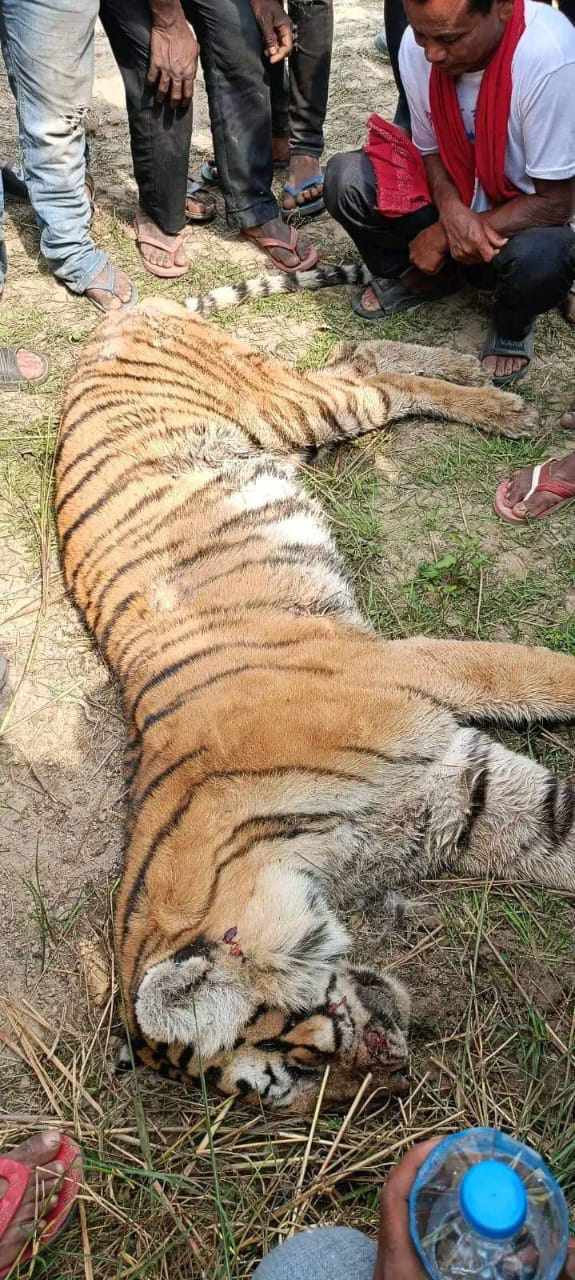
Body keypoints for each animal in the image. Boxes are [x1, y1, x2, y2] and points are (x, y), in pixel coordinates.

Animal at [55, 291, 575, 1114]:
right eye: (297, 1088)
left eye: (297, 1057)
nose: (392, 1080)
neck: (314, 855)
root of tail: (121, 311)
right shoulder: (469, 801)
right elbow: (560, 834)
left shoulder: (418, 665)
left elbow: (543, 676)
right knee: (358, 357)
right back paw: (476, 375)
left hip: (284, 407)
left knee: (373, 379)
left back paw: (501, 405)